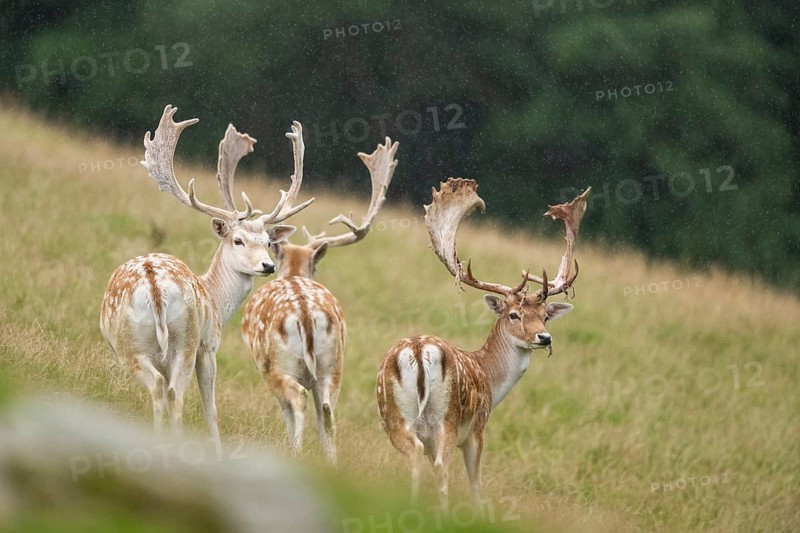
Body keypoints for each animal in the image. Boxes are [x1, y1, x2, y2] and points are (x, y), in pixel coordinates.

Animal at [100, 105, 313, 446]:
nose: (267, 266)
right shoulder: (209, 344)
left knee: (160, 388)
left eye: (268, 242)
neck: (216, 300)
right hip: (185, 341)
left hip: (131, 343)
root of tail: (153, 287)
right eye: (237, 240)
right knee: (173, 392)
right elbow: (211, 408)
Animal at [242, 126, 399, 464]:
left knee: (298, 401)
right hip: (333, 365)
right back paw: (332, 463)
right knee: (327, 413)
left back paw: (296, 454)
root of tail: (303, 314)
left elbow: (287, 414)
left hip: (278, 366)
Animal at [376, 178, 590, 509]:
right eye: (514, 314)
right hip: (447, 420)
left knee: (413, 455)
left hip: (395, 417)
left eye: (545, 316)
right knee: (441, 466)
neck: (490, 376)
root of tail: (418, 351)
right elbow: (477, 485)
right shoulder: (477, 429)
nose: (544, 337)